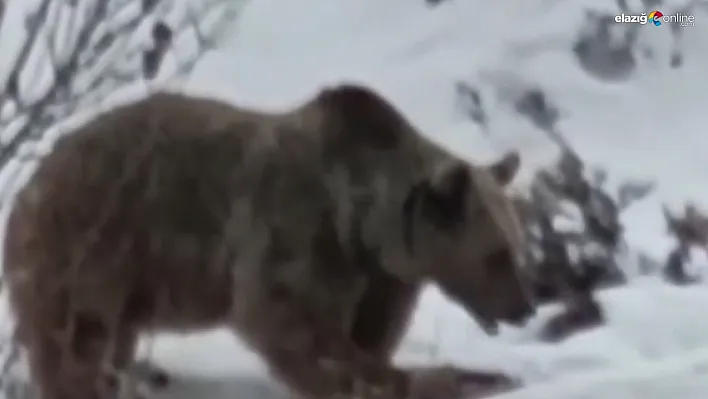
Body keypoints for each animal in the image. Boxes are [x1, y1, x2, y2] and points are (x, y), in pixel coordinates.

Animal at [2, 84, 536, 399]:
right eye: (496, 256)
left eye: (517, 246)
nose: (523, 308)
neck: (365, 223)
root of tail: (27, 187)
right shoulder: (297, 233)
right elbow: (282, 319)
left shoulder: (381, 279)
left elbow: (371, 333)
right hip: (89, 247)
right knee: (77, 343)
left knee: (110, 343)